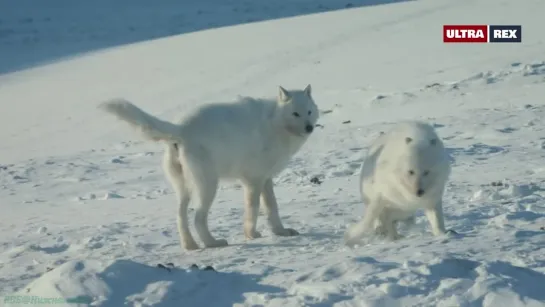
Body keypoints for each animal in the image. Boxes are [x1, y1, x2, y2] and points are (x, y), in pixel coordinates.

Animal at [101, 84, 318, 250]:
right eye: (295, 113)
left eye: (308, 112)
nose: (309, 128)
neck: (275, 122)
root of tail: (181, 128)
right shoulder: (253, 180)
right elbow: (254, 209)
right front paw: (252, 234)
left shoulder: (265, 179)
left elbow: (272, 208)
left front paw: (280, 231)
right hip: (208, 186)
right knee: (198, 218)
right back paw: (212, 243)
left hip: (184, 188)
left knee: (180, 216)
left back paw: (190, 245)